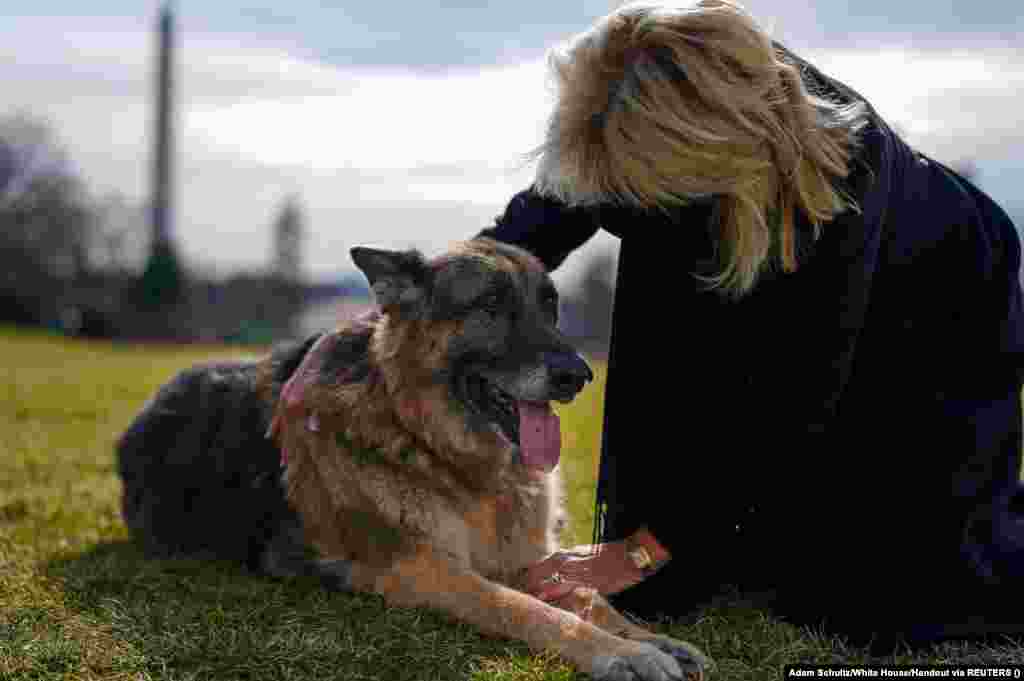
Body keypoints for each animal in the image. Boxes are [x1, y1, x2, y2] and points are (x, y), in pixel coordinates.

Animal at [117, 236, 704, 675]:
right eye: (490, 305)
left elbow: (588, 596)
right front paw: (619, 653)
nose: (578, 376)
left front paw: (643, 638)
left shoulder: (522, 559)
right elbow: (524, 607)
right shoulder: (424, 569)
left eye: (550, 305)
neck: (438, 448)